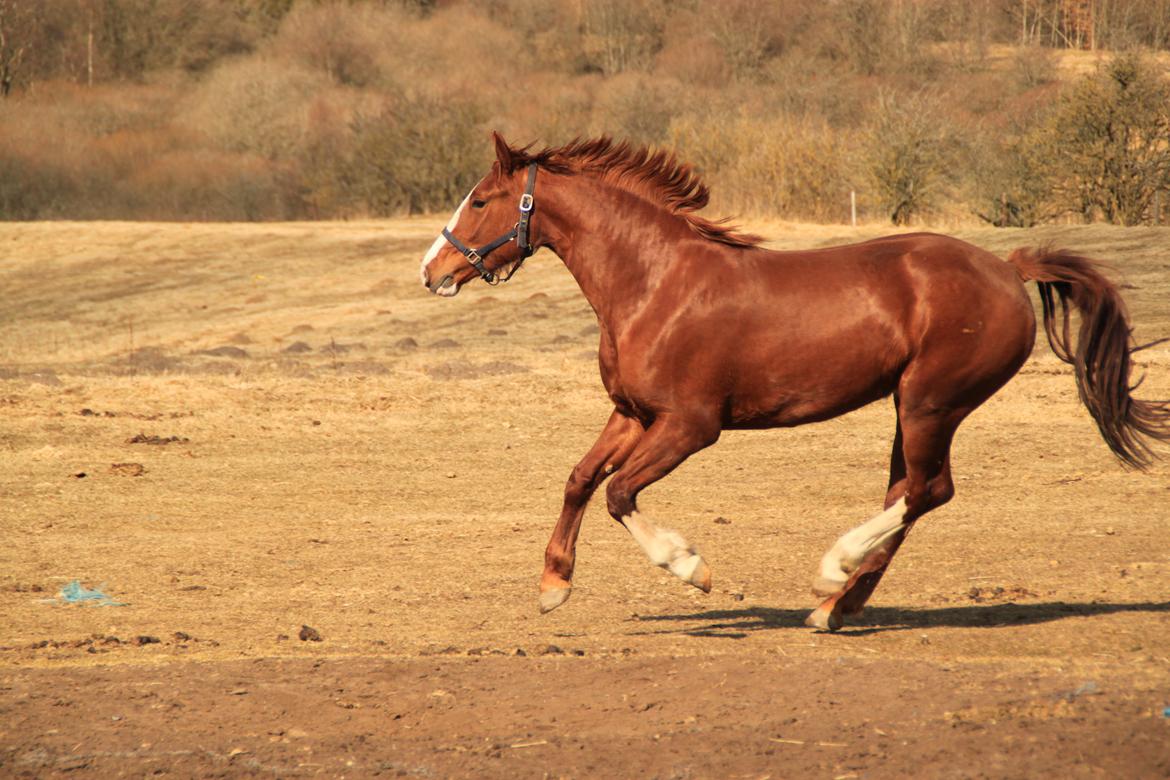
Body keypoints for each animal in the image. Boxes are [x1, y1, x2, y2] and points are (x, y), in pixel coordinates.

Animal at [421, 132, 1170, 636]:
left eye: (480, 200)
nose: (431, 272)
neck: (654, 283)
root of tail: (1009, 269)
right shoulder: (632, 414)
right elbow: (579, 480)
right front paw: (553, 585)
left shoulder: (691, 426)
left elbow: (619, 492)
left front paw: (690, 568)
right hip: (910, 408)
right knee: (909, 492)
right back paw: (833, 608)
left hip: (930, 402)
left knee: (926, 491)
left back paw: (832, 571)